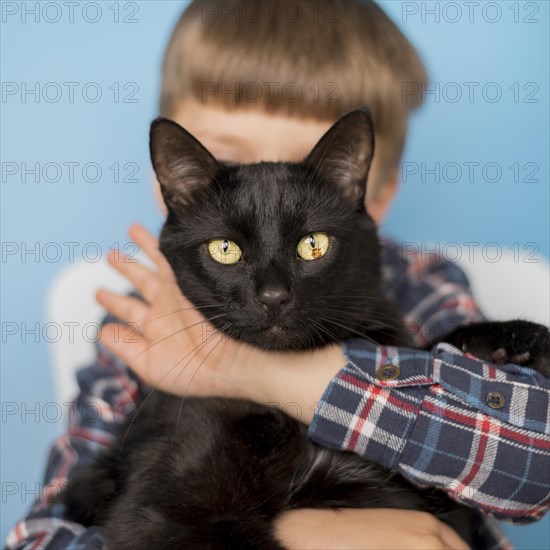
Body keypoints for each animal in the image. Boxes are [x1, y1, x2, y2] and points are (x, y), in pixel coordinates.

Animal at [60, 110, 550, 548]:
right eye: (224, 249)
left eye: (313, 244)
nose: (273, 295)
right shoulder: (168, 511)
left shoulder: (439, 506)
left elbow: (425, 362)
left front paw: (510, 342)